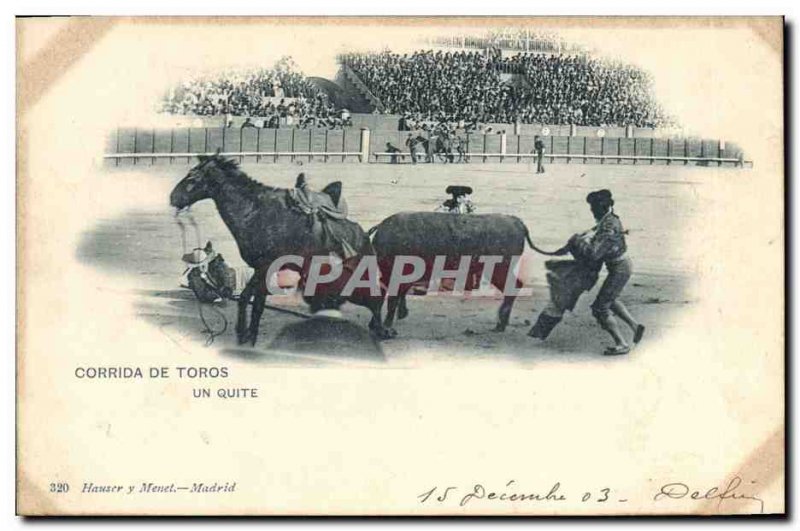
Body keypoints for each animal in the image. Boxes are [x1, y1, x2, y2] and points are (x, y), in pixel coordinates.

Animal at [170, 154, 390, 344]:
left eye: (193, 177)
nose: (173, 197)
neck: (255, 212)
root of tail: (365, 234)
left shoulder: (266, 268)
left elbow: (257, 305)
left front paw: (250, 336)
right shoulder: (259, 269)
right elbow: (246, 299)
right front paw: (243, 333)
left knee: (377, 298)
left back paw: (382, 330)